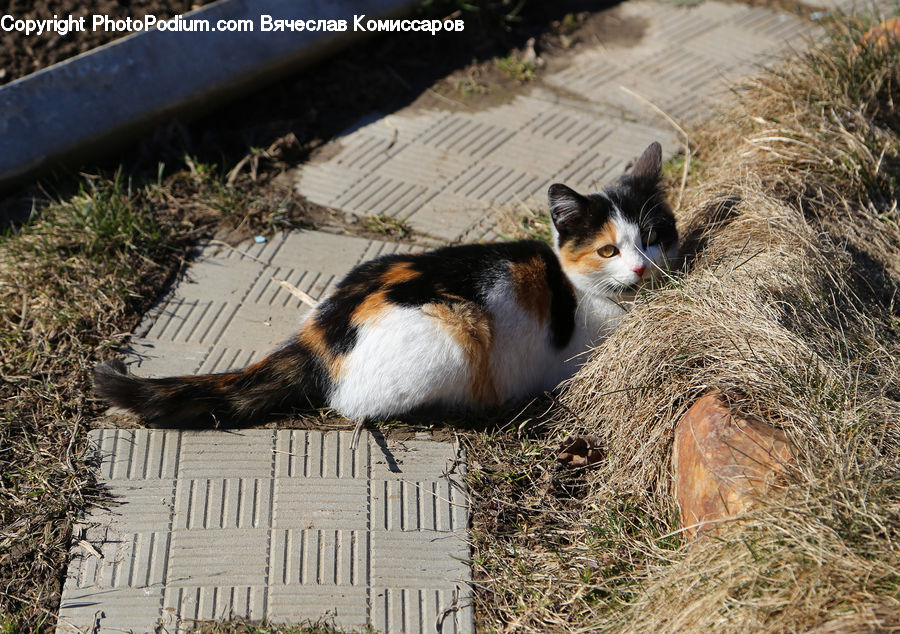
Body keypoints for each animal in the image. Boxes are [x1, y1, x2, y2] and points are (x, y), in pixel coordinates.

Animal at [95, 143, 680, 440]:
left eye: (653, 237)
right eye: (608, 250)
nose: (640, 269)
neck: (584, 290)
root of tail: (315, 338)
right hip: (455, 332)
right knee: (359, 407)